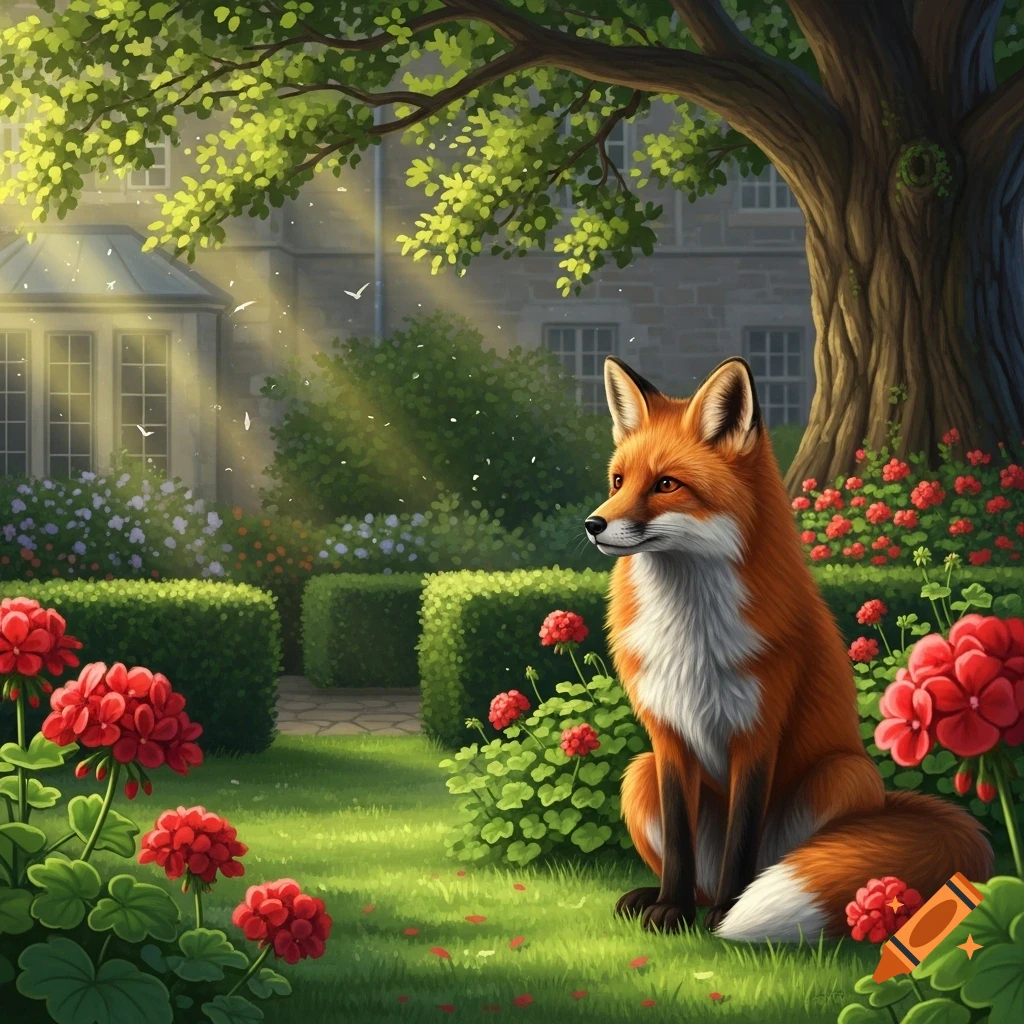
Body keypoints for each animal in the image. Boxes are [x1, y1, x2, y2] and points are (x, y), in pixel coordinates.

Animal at [584, 355, 993, 941]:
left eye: (666, 484)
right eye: (618, 480)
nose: (593, 524)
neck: (691, 632)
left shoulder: (758, 731)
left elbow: (742, 839)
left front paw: (726, 914)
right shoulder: (667, 737)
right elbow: (681, 846)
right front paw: (671, 909)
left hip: (841, 775)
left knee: (776, 860)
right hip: (638, 774)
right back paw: (660, 898)